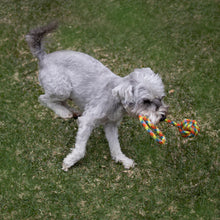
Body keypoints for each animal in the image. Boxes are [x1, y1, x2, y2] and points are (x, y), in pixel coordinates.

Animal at [25, 21, 168, 170]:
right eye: (146, 101)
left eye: (161, 98)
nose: (163, 117)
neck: (116, 101)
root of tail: (44, 57)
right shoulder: (87, 121)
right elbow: (80, 149)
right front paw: (70, 161)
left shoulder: (111, 126)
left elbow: (115, 147)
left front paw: (123, 159)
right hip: (62, 88)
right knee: (43, 98)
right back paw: (63, 113)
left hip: (64, 92)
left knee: (60, 102)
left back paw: (70, 112)